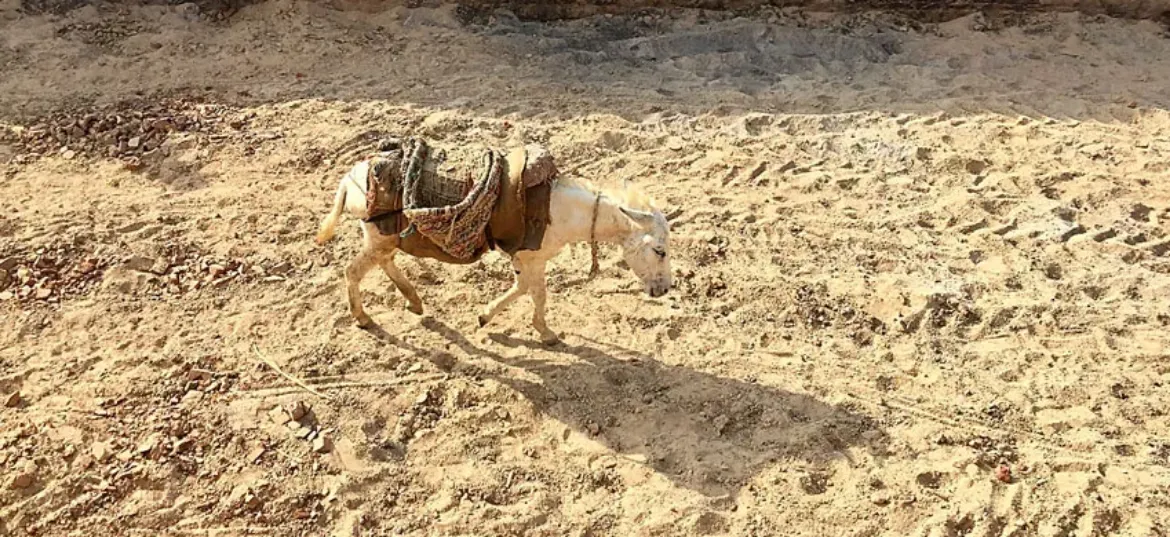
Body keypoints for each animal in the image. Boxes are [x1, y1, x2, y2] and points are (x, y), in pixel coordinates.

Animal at [315, 154, 673, 344]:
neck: (561, 209)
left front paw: (485, 316)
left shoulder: (525, 259)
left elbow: (523, 289)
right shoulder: (532, 257)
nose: (665, 290)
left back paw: (413, 301)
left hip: (384, 239)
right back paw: (362, 317)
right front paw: (546, 333)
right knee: (353, 271)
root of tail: (351, 177)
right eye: (660, 251)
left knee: (385, 264)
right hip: (379, 238)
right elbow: (537, 293)